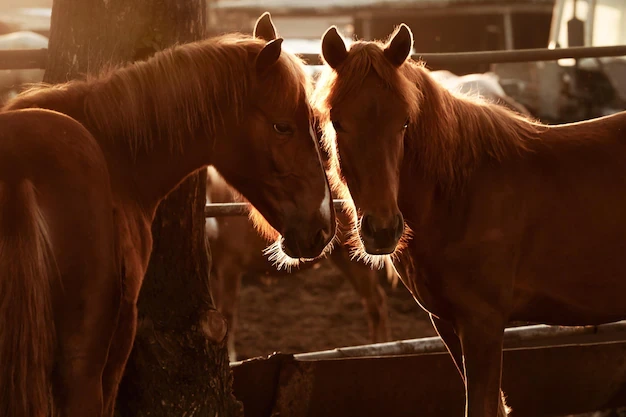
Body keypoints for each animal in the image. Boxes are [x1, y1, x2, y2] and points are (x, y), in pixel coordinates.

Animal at [206, 166, 394, 360]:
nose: (212, 229)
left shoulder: (230, 269)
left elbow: (227, 314)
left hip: (356, 261)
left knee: (376, 304)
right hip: (343, 258)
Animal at [314, 23, 624, 417]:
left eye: (404, 122)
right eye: (338, 122)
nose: (382, 230)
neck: (460, 196)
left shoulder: (483, 325)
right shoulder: (448, 323)